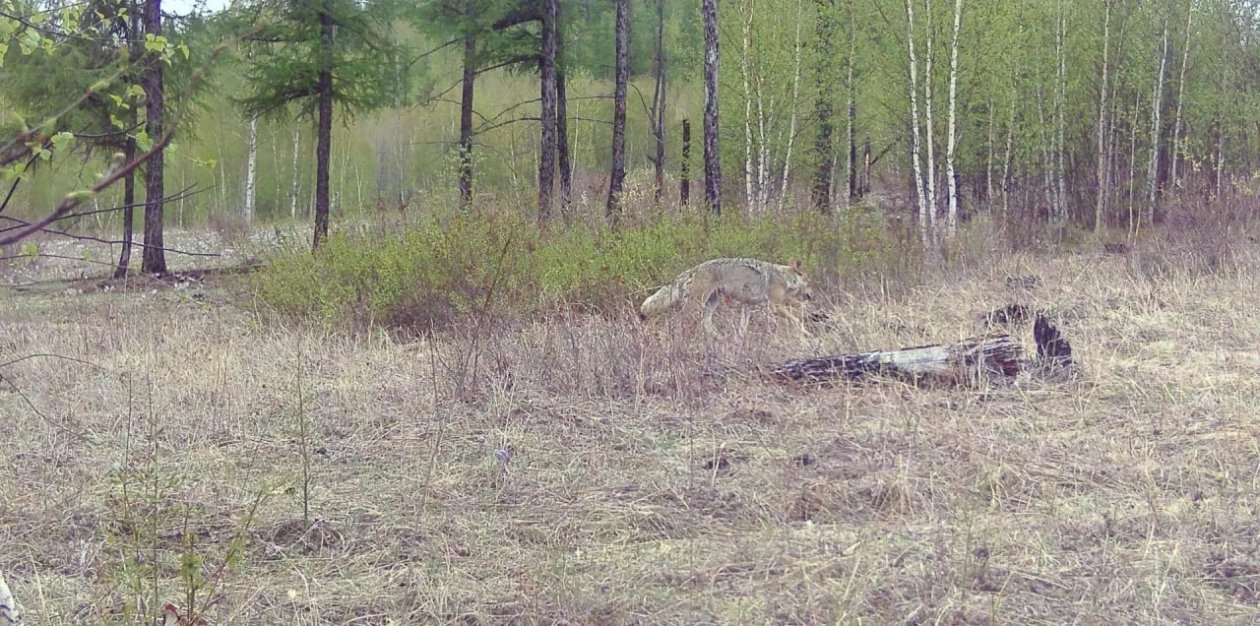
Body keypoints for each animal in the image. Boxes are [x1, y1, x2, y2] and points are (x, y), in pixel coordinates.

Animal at [638, 257, 814, 332]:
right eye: (809, 282)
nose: (812, 296)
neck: (785, 278)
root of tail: (691, 270)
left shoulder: (747, 306)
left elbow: (742, 329)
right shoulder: (775, 306)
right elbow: (797, 321)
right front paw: (805, 335)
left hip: (712, 303)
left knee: (706, 324)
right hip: (696, 305)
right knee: (678, 322)